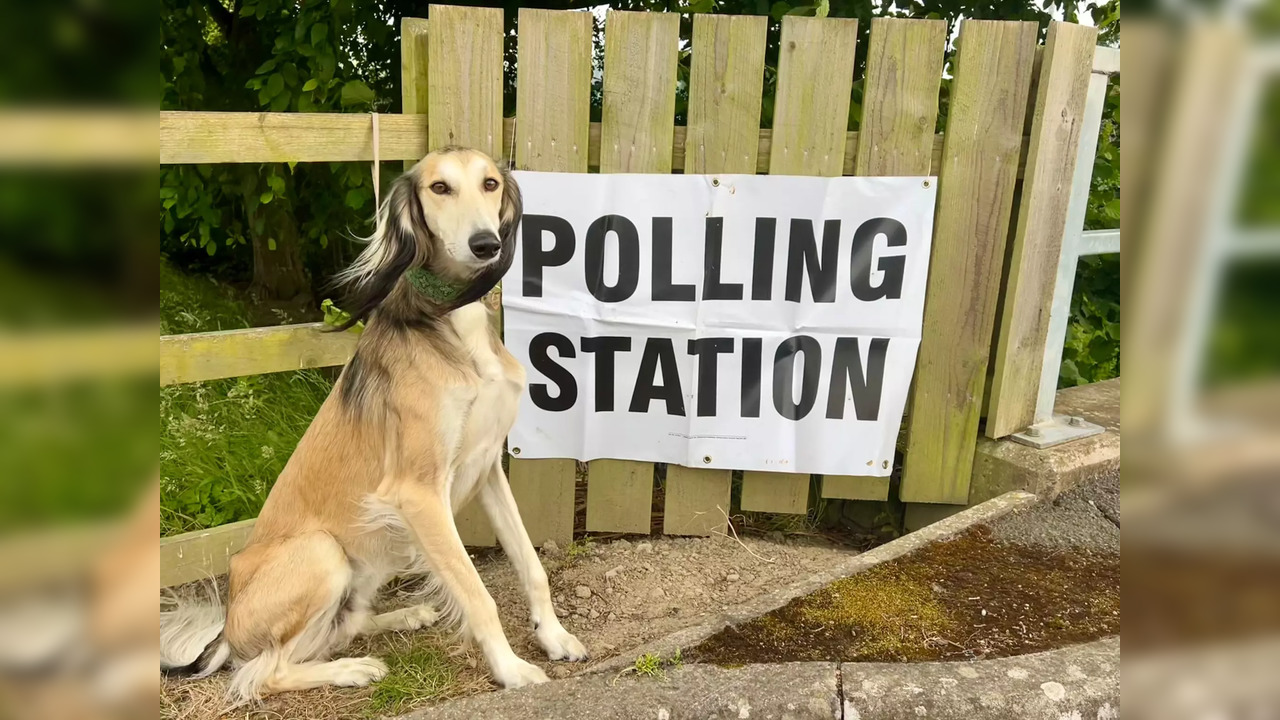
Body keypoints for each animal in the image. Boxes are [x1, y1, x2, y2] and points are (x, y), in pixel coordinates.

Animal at [156, 147, 588, 702]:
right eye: (440, 188)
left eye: (490, 183)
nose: (486, 245)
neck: (448, 321)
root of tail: (227, 628)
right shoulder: (419, 494)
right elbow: (477, 594)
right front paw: (511, 670)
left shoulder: (487, 467)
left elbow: (531, 566)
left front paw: (553, 635)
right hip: (324, 552)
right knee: (262, 672)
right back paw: (351, 670)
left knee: (340, 628)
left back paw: (404, 617)